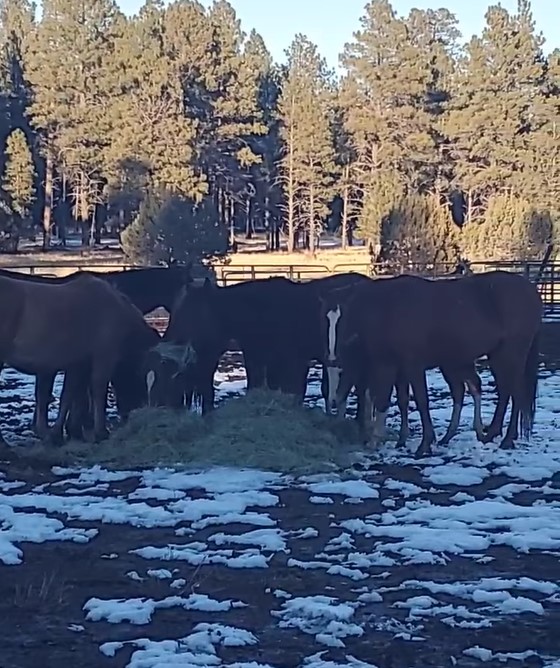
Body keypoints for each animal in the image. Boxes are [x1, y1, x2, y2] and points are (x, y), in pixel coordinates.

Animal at [0, 265, 191, 436]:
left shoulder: (77, 363)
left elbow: (69, 395)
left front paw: (62, 432)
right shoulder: (103, 357)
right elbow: (98, 390)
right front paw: (98, 431)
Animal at [329, 271, 542, 457]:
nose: (334, 356)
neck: (389, 310)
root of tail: (531, 290)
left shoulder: (412, 365)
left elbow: (421, 401)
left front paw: (424, 444)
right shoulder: (394, 367)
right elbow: (396, 400)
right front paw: (397, 440)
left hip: (511, 355)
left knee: (515, 392)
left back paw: (507, 439)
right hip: (496, 356)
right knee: (504, 392)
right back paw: (490, 434)